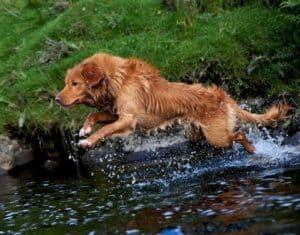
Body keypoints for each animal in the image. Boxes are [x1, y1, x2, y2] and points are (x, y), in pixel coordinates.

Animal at [55, 52, 292, 153]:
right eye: (66, 83)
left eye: (74, 83)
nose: (56, 99)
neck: (117, 79)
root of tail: (221, 96)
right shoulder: (116, 113)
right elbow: (93, 115)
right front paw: (85, 129)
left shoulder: (128, 120)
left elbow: (105, 130)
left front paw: (87, 141)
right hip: (198, 133)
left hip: (216, 137)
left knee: (239, 134)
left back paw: (253, 151)